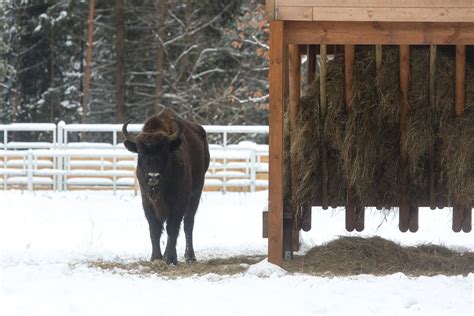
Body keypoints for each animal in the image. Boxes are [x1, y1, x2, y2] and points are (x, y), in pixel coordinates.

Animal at [122, 109, 209, 264]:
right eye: (141, 153)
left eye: (164, 151)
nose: (153, 176)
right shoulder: (147, 202)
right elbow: (155, 229)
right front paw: (156, 257)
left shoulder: (179, 201)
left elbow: (173, 228)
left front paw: (170, 258)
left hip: (196, 193)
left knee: (188, 223)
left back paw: (190, 256)